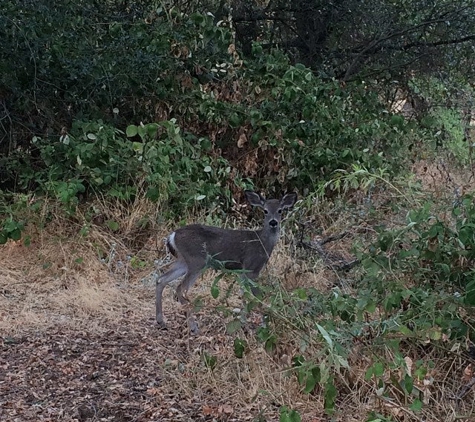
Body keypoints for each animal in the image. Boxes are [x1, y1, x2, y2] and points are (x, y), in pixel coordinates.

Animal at [155, 190, 298, 332]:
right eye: (265, 210)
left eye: (280, 210)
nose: (273, 222)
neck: (263, 243)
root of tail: (172, 236)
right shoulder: (251, 267)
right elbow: (256, 296)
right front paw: (263, 324)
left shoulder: (242, 271)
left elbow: (243, 293)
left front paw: (243, 322)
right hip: (197, 260)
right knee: (180, 288)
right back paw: (193, 327)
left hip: (184, 261)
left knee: (161, 279)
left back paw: (161, 321)